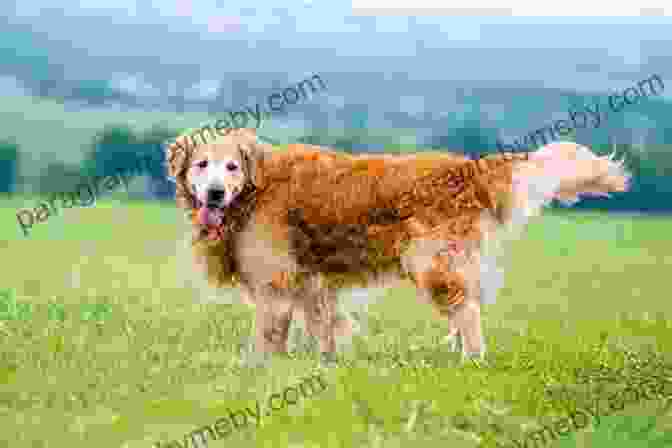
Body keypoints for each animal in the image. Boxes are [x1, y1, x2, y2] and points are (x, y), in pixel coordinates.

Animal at [163, 127, 632, 364]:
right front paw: (318, 363)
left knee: (468, 312)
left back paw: (472, 362)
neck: (256, 190)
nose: (215, 193)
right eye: (202, 165)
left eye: (231, 167)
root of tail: (470, 168)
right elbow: (319, 325)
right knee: (464, 309)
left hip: (434, 262)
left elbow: (268, 331)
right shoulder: (309, 280)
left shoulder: (275, 276)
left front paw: (259, 368)